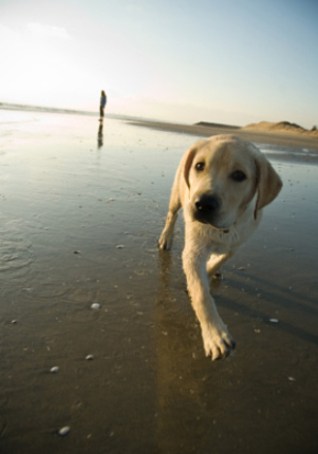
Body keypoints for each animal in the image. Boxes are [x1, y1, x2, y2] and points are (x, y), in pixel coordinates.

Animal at [158, 135, 282, 362]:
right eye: (199, 166)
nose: (203, 204)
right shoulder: (193, 251)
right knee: (172, 215)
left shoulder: (237, 242)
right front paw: (215, 335)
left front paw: (210, 270)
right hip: (177, 194)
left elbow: (221, 258)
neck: (224, 228)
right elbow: (201, 293)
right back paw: (166, 238)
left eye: (239, 175)